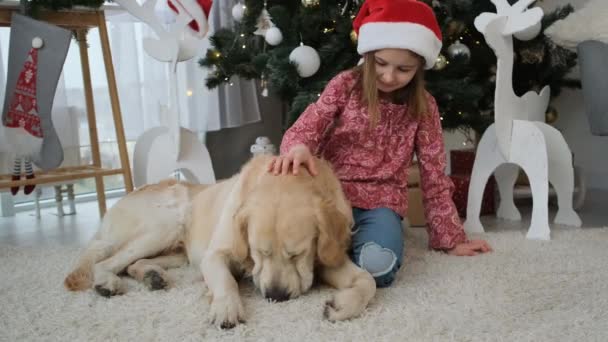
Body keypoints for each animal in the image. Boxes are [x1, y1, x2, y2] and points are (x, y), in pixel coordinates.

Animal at [63, 155, 376, 328]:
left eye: (297, 254)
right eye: (258, 252)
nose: (276, 296)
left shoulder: (326, 258)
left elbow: (369, 281)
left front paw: (343, 305)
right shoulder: (215, 254)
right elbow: (225, 280)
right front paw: (226, 307)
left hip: (177, 250)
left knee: (132, 263)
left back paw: (152, 275)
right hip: (165, 223)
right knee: (106, 260)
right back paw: (106, 282)